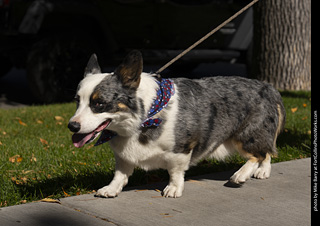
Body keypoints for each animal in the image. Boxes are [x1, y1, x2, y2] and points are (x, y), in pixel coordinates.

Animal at [67, 50, 284, 198]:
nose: (72, 126)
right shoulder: (123, 156)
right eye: (77, 100)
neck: (146, 116)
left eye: (99, 103)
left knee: (259, 153)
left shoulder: (180, 149)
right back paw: (262, 172)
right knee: (266, 153)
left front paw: (173, 189)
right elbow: (120, 174)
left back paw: (242, 174)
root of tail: (268, 87)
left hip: (246, 136)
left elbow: (175, 172)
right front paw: (111, 189)